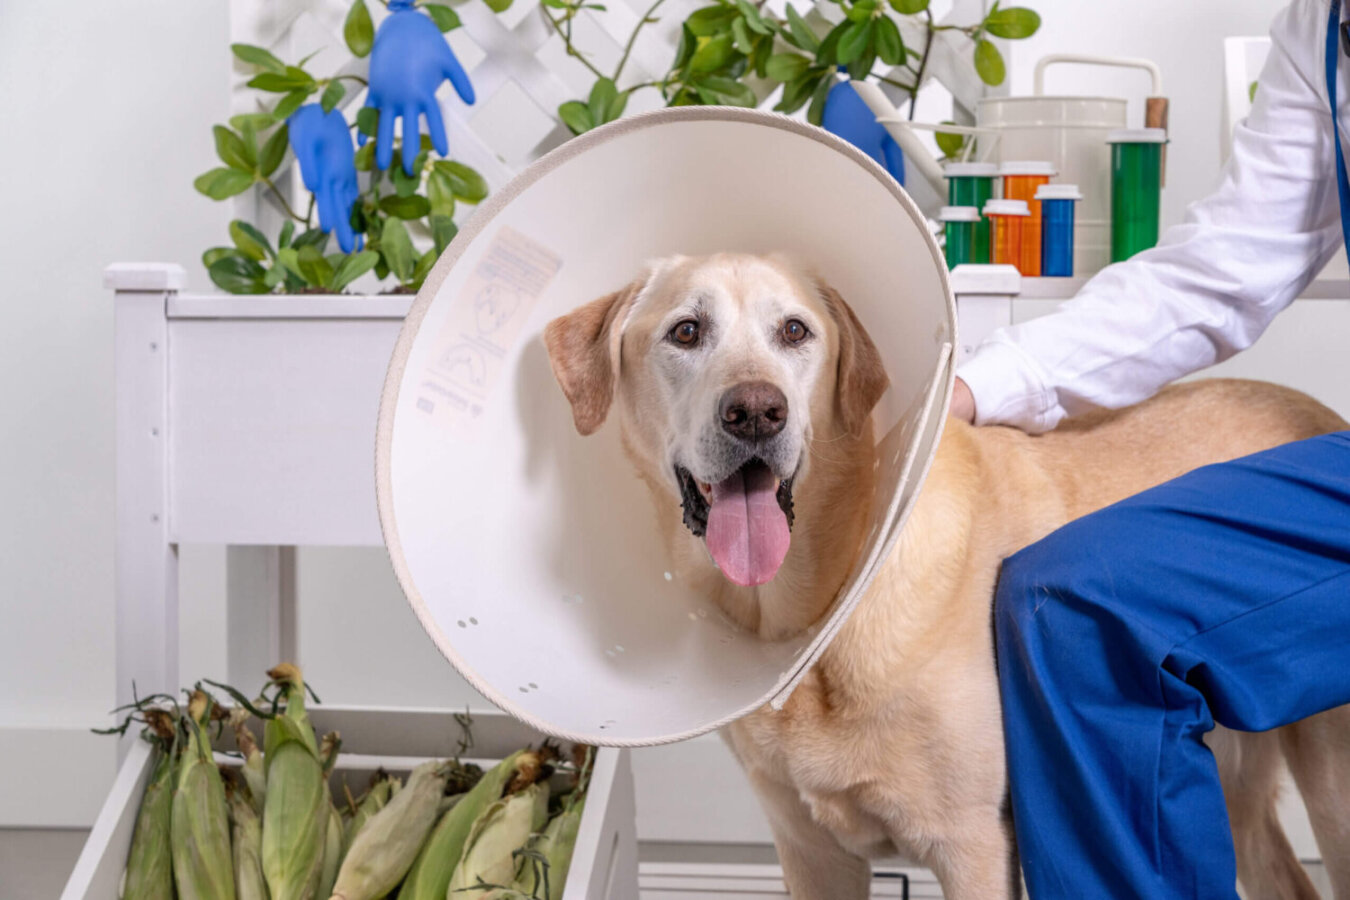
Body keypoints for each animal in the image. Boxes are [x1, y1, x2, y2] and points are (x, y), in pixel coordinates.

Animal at [542, 253, 1344, 900]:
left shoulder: (976, 848)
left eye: (795, 332)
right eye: (685, 332)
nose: (756, 412)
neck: (826, 616)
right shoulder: (811, 852)